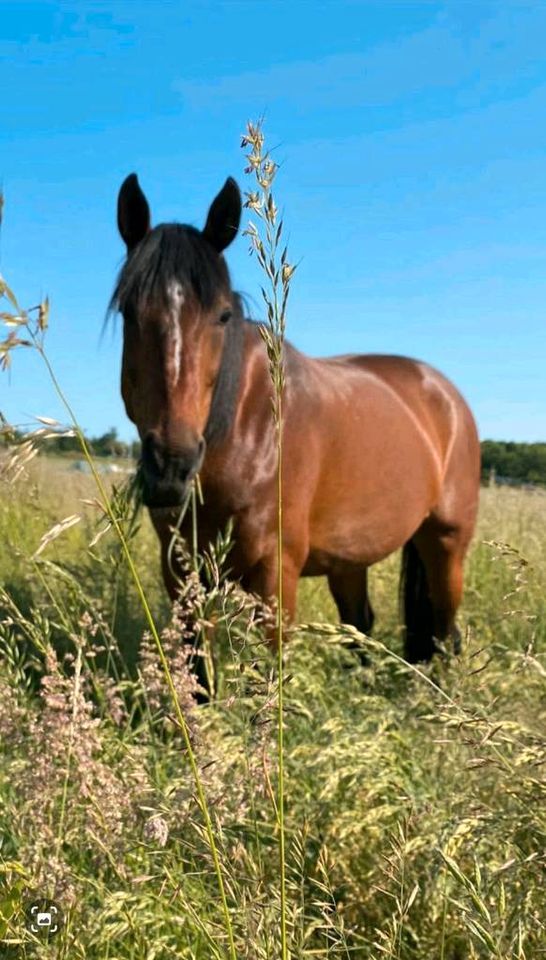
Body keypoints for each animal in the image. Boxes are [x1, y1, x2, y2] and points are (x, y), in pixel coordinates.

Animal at [112, 174, 478, 676]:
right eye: (129, 312)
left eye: (222, 316)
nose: (171, 466)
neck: (246, 433)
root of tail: (446, 394)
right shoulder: (181, 575)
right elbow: (197, 675)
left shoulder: (275, 577)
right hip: (350, 558)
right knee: (361, 623)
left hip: (445, 545)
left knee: (446, 630)